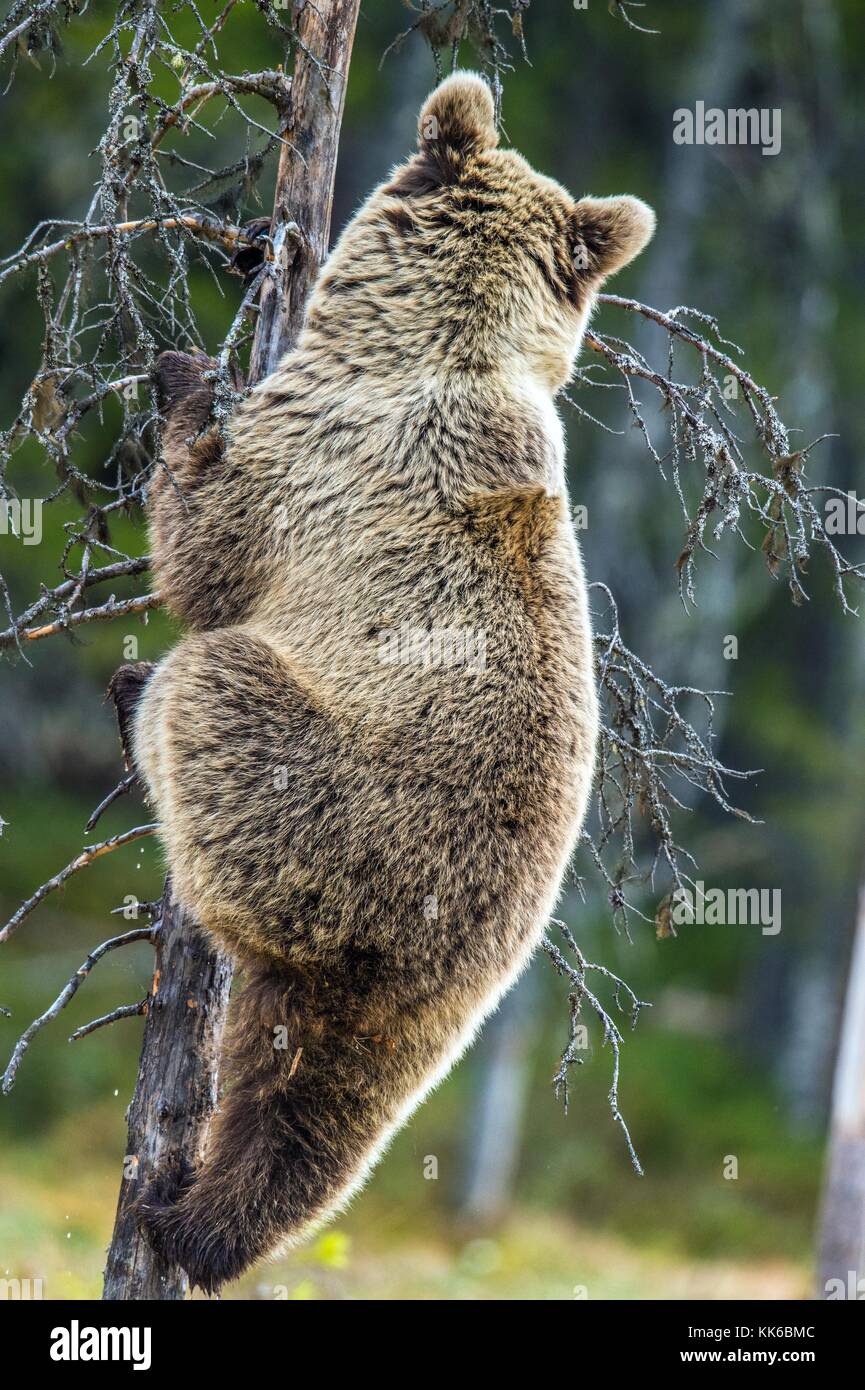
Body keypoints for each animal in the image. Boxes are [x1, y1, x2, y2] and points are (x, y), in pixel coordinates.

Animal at [122, 70, 655, 1292]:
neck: (434, 337)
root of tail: (428, 950)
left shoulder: (314, 456)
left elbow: (203, 552)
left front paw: (182, 383)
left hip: (326, 799)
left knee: (212, 689)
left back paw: (133, 699)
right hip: (430, 961)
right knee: (307, 1100)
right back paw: (203, 1218)